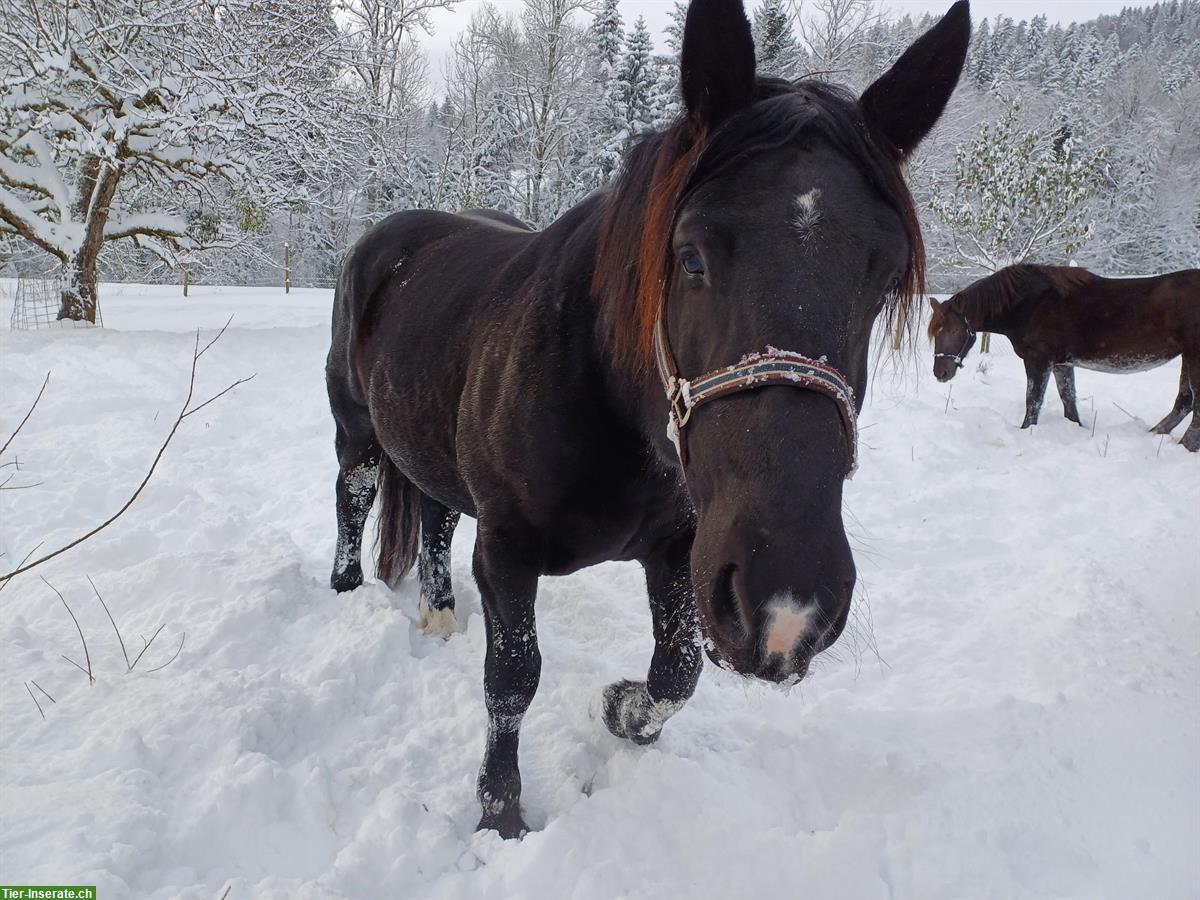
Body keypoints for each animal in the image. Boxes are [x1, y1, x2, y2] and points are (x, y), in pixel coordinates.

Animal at [328, 0, 974, 840]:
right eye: (692, 256)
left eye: (885, 278)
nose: (789, 604)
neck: (606, 400)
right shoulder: (507, 551)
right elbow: (513, 678)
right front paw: (501, 816)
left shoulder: (682, 552)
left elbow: (679, 669)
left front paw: (620, 708)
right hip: (357, 433)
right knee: (354, 498)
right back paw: (345, 589)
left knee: (433, 518)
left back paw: (438, 615)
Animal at [926, 264, 1200, 453]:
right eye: (935, 332)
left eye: (954, 330)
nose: (941, 373)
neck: (1031, 303)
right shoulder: (1061, 363)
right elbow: (1068, 397)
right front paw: (1076, 427)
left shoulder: (1038, 360)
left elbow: (1033, 401)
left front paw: (1026, 430)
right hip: (1187, 357)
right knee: (1184, 402)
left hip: (1194, 356)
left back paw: (1185, 447)